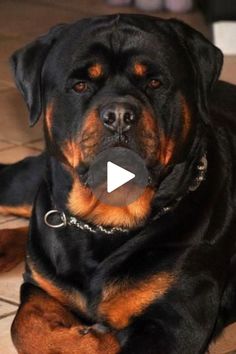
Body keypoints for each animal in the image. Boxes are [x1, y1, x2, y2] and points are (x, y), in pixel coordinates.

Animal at [0, 13, 236, 354]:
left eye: (155, 82)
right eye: (80, 85)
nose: (120, 114)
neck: (104, 226)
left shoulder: (177, 321)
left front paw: (100, 337)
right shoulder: (39, 286)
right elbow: (24, 325)